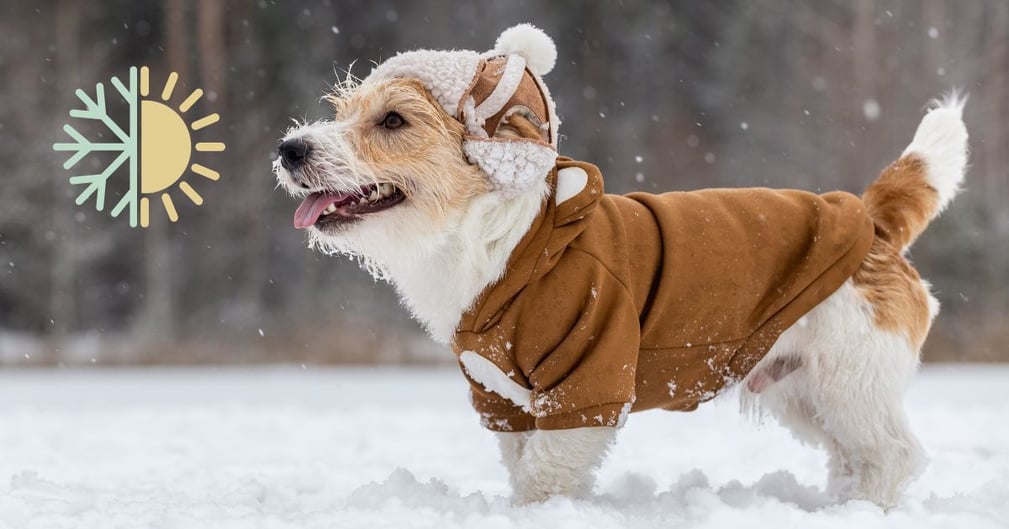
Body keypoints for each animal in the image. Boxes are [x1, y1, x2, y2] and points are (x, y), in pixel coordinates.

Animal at [274, 24, 968, 508]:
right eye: (340, 112)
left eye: (393, 120)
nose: (289, 148)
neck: (503, 242)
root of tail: (870, 220)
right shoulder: (502, 397)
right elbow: (522, 462)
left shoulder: (589, 380)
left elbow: (545, 476)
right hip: (803, 391)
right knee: (854, 458)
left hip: (851, 383)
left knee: (892, 455)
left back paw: (867, 510)